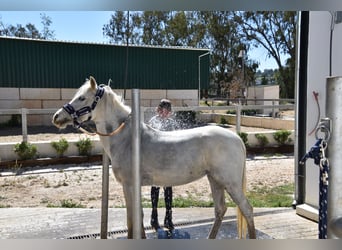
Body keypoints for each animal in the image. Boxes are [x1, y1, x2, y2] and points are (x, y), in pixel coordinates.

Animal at [52, 76, 255, 238]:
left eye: (82, 98)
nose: (57, 117)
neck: (128, 139)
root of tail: (237, 138)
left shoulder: (129, 185)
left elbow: (132, 219)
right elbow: (138, 217)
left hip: (230, 183)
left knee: (247, 209)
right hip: (215, 180)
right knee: (220, 210)